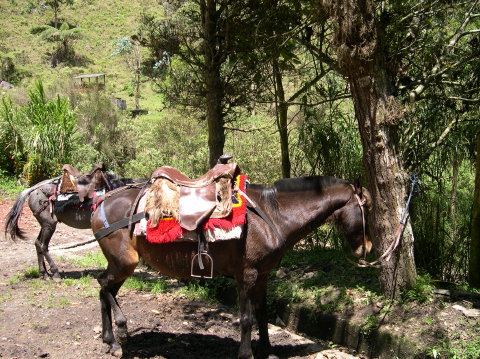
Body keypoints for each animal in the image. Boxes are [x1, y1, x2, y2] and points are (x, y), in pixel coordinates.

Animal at [4, 164, 142, 282]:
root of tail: (33, 189)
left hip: (45, 224)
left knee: (38, 243)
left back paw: (44, 274)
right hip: (49, 224)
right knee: (43, 246)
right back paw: (55, 273)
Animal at [92, 164, 374, 359]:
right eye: (367, 208)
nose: (368, 247)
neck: (272, 214)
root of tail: (101, 202)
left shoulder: (263, 275)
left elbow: (262, 313)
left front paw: (267, 351)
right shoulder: (246, 275)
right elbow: (247, 318)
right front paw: (246, 354)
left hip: (121, 265)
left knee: (105, 289)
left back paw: (110, 340)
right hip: (124, 262)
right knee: (105, 287)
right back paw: (120, 332)